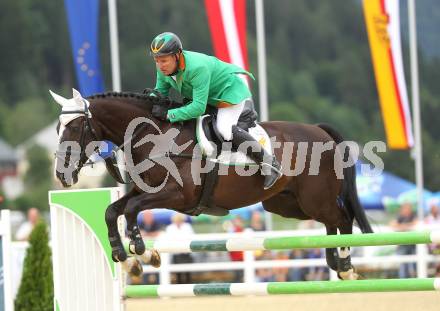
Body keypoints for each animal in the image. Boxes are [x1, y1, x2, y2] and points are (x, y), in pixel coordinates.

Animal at [53, 89, 372, 282]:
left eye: (74, 127)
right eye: (57, 128)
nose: (61, 175)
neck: (153, 134)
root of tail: (320, 130)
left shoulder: (176, 196)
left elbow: (131, 209)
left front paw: (143, 252)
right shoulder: (146, 190)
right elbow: (112, 211)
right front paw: (126, 258)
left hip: (314, 199)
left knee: (343, 218)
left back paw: (345, 266)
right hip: (286, 204)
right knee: (331, 223)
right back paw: (335, 261)